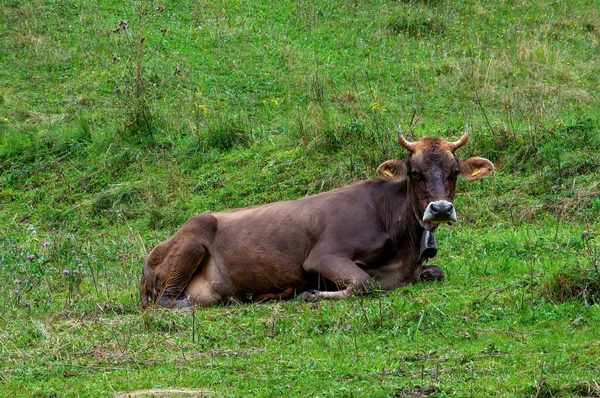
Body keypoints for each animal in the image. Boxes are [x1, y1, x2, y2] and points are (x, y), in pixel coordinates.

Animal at [139, 126, 492, 310]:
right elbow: (364, 284)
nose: (441, 208)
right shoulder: (323, 255)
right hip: (195, 232)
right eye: (415, 172)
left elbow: (437, 272)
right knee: (168, 301)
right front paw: (312, 293)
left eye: (454, 172)